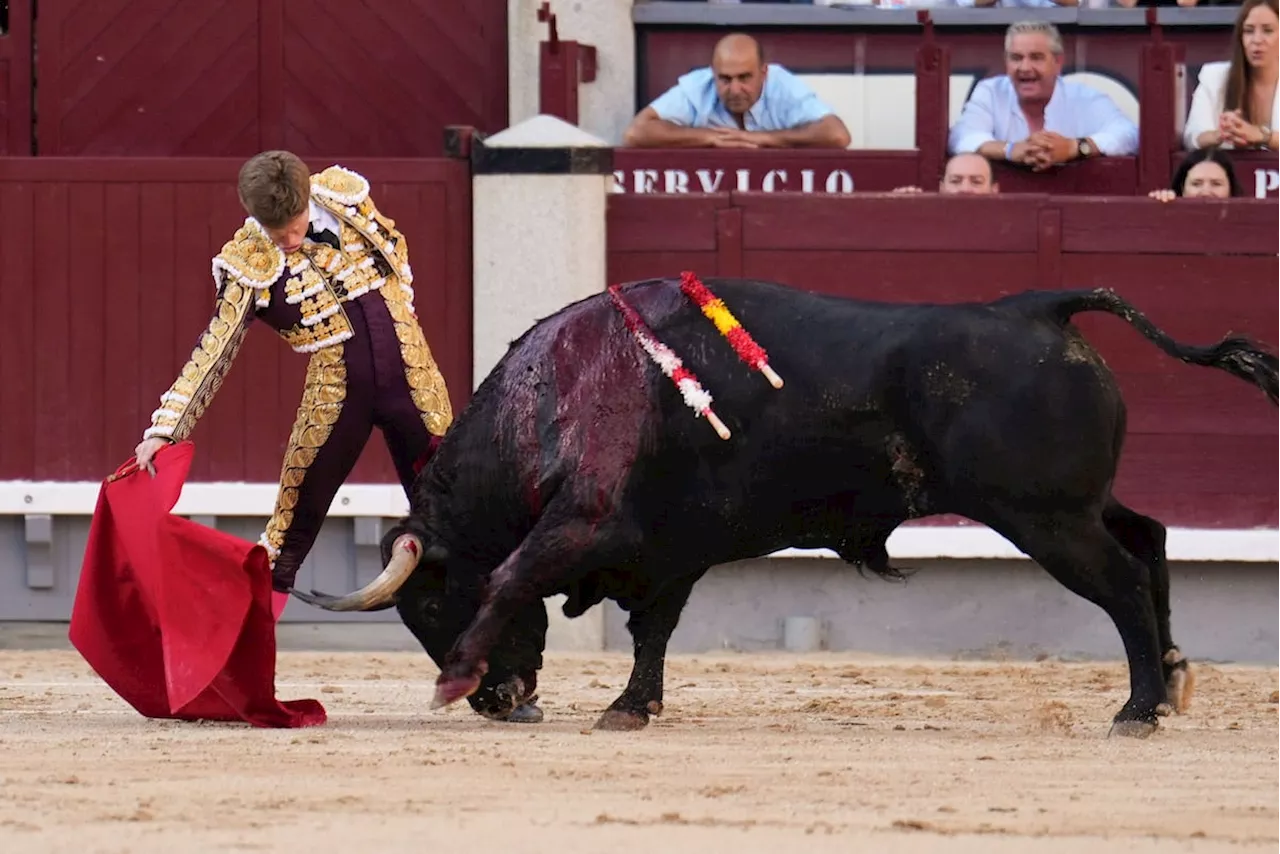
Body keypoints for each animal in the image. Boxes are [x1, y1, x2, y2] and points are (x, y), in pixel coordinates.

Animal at [290, 277, 1280, 737]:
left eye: (429, 605)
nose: (500, 702)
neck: (552, 396)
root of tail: (1038, 305)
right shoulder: (669, 548)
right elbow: (653, 630)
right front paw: (631, 707)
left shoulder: (585, 523)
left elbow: (511, 577)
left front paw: (451, 678)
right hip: (1074, 505)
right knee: (1148, 536)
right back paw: (1173, 678)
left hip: (1047, 519)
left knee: (1121, 580)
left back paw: (1139, 706)